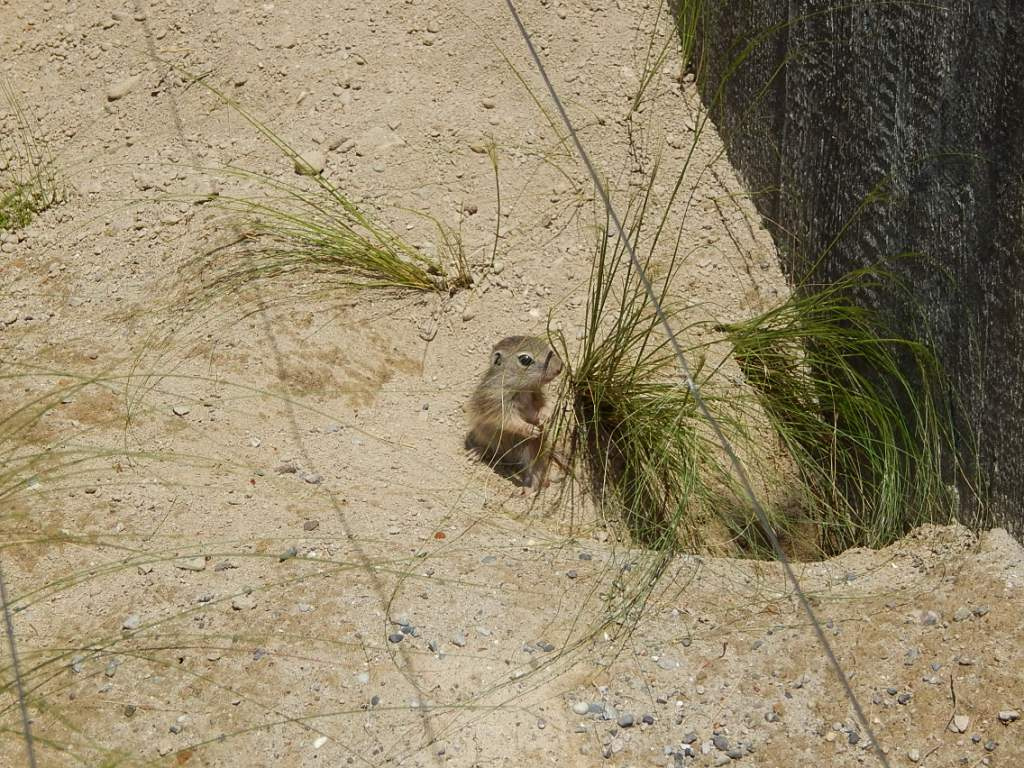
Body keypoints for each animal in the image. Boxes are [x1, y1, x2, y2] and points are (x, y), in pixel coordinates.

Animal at [468, 335, 565, 493]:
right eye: (525, 360)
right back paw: (476, 452)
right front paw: (531, 429)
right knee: (489, 449)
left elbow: (544, 405)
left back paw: (529, 489)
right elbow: (511, 421)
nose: (560, 367)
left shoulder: (537, 394)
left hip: (533, 450)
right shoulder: (498, 404)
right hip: (482, 433)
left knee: (535, 472)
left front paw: (546, 417)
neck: (522, 388)